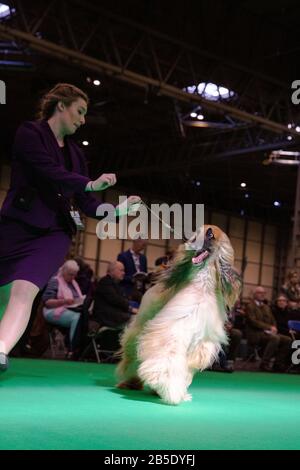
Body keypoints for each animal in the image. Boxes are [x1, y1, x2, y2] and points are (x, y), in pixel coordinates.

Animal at [116, 224, 243, 404]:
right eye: (194, 236)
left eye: (209, 234)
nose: (189, 244)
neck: (202, 288)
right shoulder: (174, 328)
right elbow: (168, 356)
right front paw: (168, 387)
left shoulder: (203, 341)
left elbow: (188, 364)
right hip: (141, 324)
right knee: (131, 352)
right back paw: (130, 381)